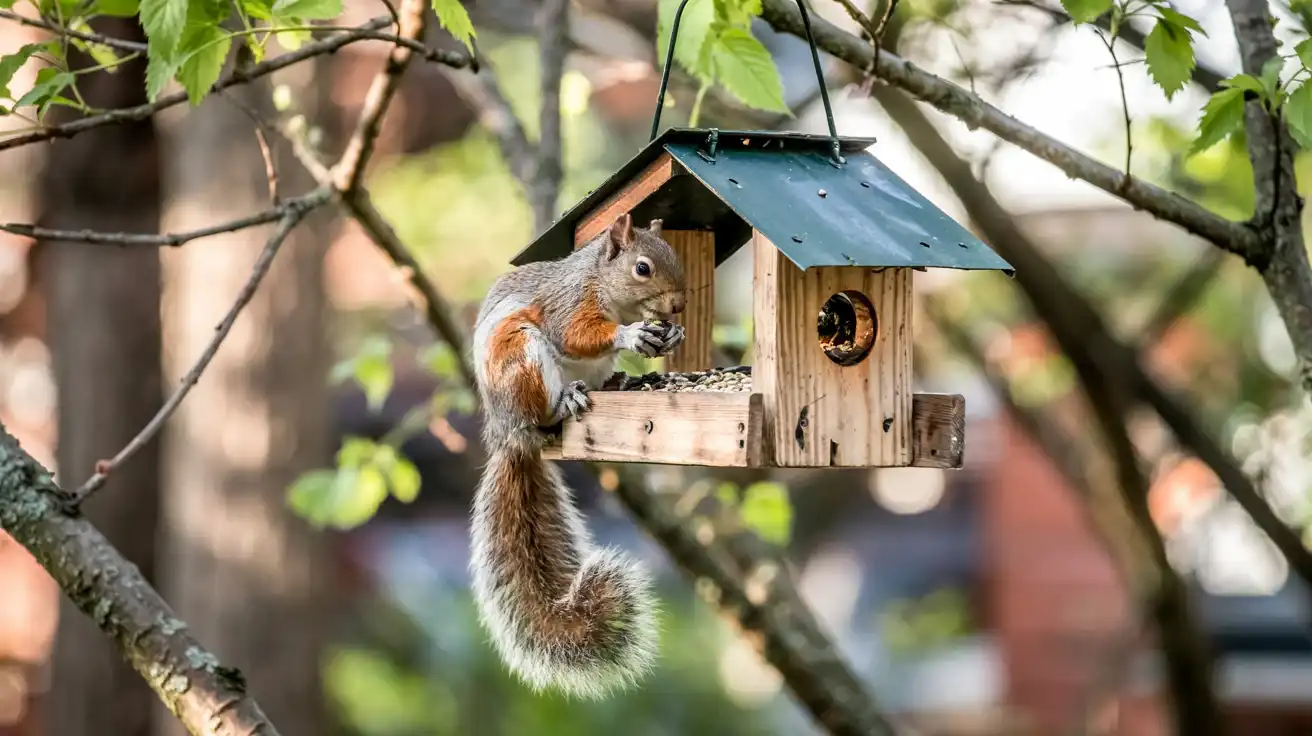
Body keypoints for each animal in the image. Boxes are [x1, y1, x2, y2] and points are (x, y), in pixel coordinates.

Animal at [469, 212, 688, 699]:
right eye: (642, 268)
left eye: (677, 256)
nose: (680, 306)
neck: (605, 286)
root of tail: (508, 435)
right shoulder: (567, 305)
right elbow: (577, 334)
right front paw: (631, 335)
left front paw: (669, 337)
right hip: (522, 355)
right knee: (543, 408)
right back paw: (564, 402)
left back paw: (619, 381)